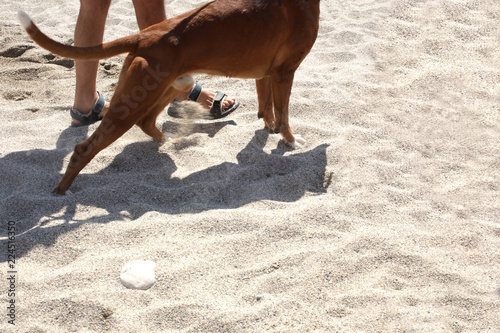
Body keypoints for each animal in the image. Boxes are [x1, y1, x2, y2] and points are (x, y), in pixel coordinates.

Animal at [18, 0, 320, 193]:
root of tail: (144, 36)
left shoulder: (265, 74)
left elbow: (267, 109)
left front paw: (269, 131)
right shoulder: (284, 72)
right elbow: (283, 114)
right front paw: (290, 141)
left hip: (169, 87)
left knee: (147, 122)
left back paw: (169, 140)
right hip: (131, 105)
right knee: (84, 149)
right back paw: (62, 191)